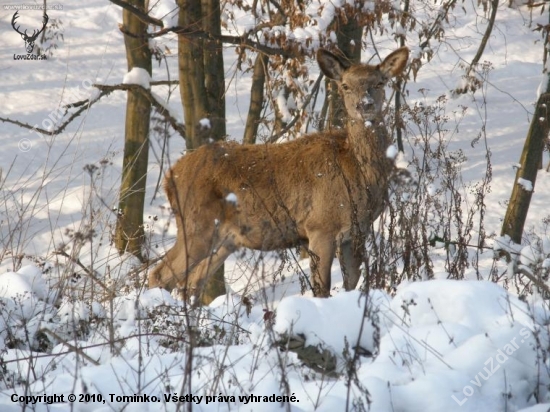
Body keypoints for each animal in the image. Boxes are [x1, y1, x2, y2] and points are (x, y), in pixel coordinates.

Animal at [150, 46, 410, 304]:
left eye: (379, 83)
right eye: (345, 85)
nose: (364, 105)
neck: (359, 174)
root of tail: (169, 177)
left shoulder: (357, 231)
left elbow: (352, 283)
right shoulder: (320, 226)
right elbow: (322, 289)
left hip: (226, 239)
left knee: (193, 281)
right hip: (195, 224)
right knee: (160, 274)